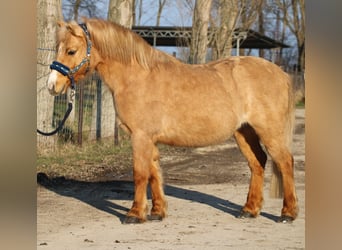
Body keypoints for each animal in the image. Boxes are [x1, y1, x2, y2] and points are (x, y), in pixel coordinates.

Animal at [46, 18, 298, 224]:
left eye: (71, 51)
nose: (52, 86)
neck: (138, 77)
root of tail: (281, 73)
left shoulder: (140, 136)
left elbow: (140, 173)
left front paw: (135, 214)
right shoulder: (149, 139)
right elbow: (154, 172)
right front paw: (157, 212)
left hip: (270, 132)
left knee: (285, 163)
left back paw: (287, 213)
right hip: (244, 132)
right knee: (257, 162)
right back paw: (249, 210)